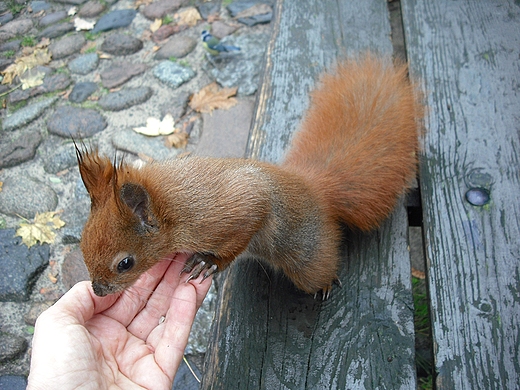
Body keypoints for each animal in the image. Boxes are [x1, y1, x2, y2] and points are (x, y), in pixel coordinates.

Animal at [75, 54, 422, 298]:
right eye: (82, 243)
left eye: (125, 263)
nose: (98, 291)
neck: (174, 209)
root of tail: (315, 189)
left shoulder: (240, 207)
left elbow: (240, 235)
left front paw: (210, 262)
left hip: (308, 256)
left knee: (317, 270)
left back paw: (324, 285)